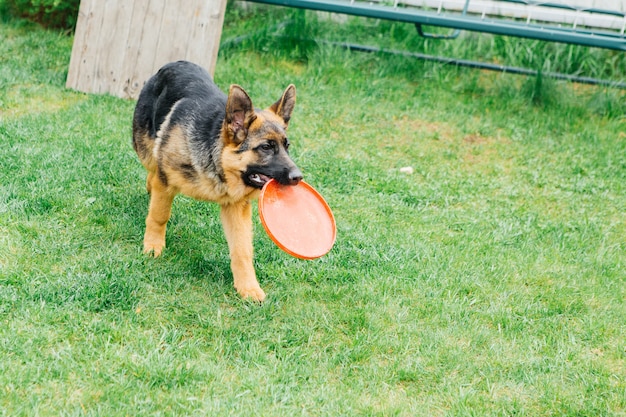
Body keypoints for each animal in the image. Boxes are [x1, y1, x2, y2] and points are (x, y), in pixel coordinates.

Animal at [130, 60, 302, 300]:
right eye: (266, 147)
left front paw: (248, 286)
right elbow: (159, 216)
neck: (217, 163)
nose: (298, 177)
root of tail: (175, 63)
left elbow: (242, 250)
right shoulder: (166, 184)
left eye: (287, 147)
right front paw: (153, 245)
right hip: (144, 149)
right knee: (153, 167)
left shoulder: (236, 208)